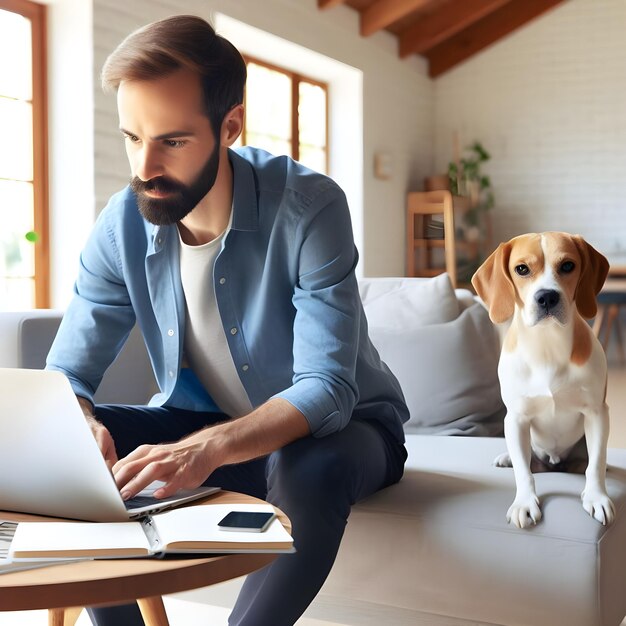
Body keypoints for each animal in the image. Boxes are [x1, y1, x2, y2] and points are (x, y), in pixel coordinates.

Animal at [472, 232, 608, 524]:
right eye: (522, 269)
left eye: (567, 265)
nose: (547, 297)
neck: (547, 346)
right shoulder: (516, 418)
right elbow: (524, 472)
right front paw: (524, 502)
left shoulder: (596, 413)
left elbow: (596, 464)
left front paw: (597, 497)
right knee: (528, 462)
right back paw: (507, 457)